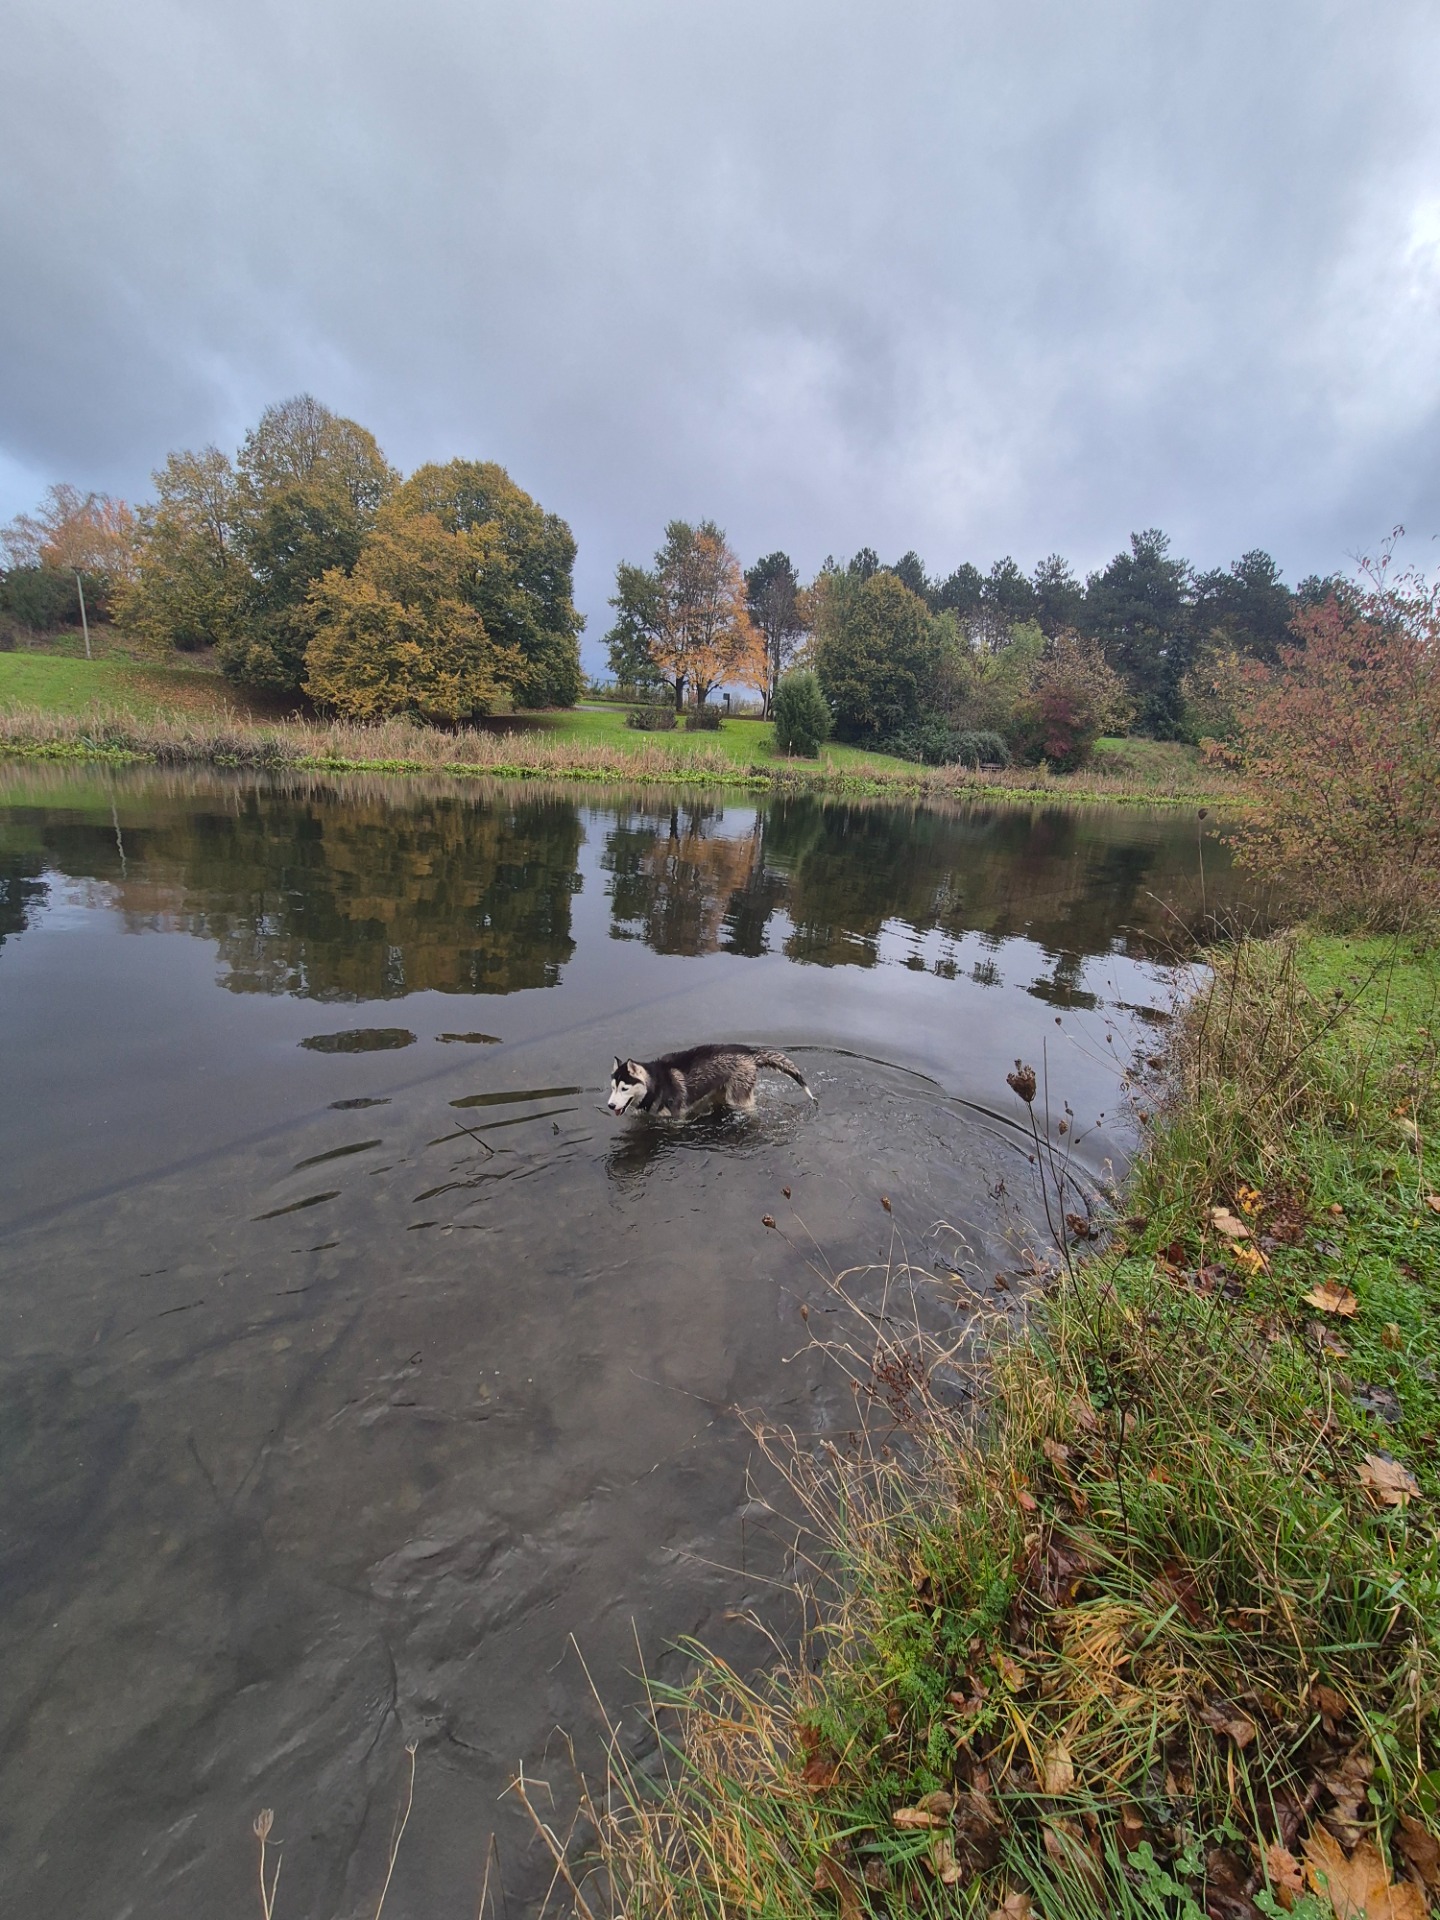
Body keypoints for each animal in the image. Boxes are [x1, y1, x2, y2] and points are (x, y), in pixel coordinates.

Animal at [606, 1044, 817, 1121]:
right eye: (613, 1088)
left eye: (624, 1088)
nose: (610, 1105)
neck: (656, 1084)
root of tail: (750, 1053)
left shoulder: (677, 1118)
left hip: (739, 1099)